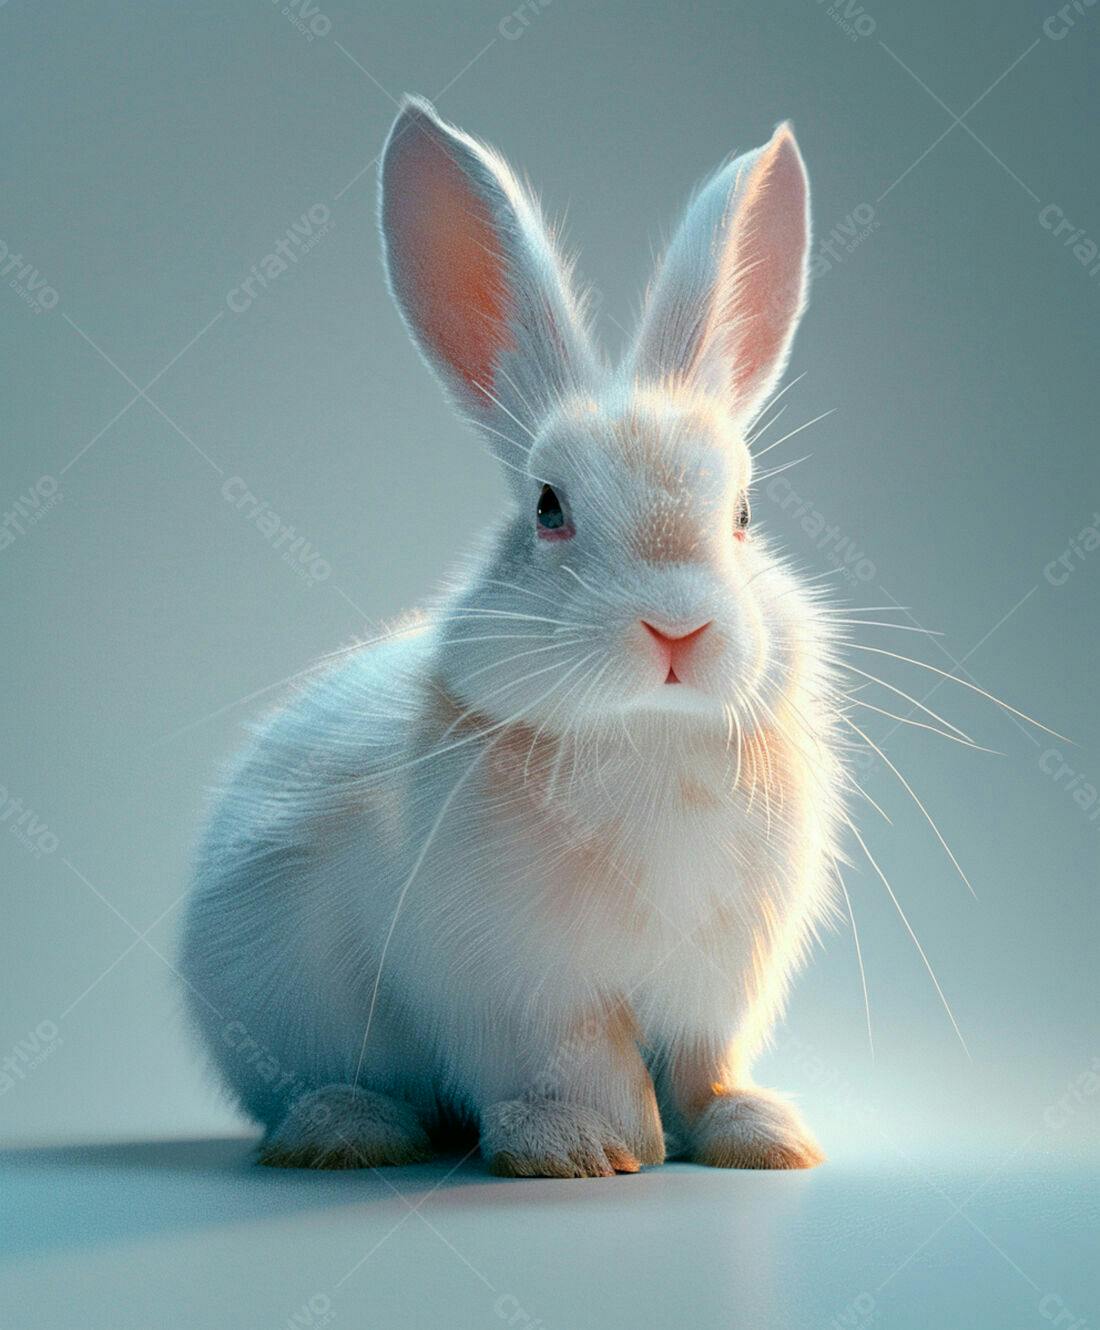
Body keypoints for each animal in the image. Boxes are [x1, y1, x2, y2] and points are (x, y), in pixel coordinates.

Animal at [179, 95, 845, 1177]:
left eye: (744, 513)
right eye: (548, 508)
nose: (677, 626)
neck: (645, 734)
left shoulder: (716, 985)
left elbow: (705, 1070)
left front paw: (761, 1138)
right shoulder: (525, 994)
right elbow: (590, 1068)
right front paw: (593, 1149)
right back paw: (350, 1128)